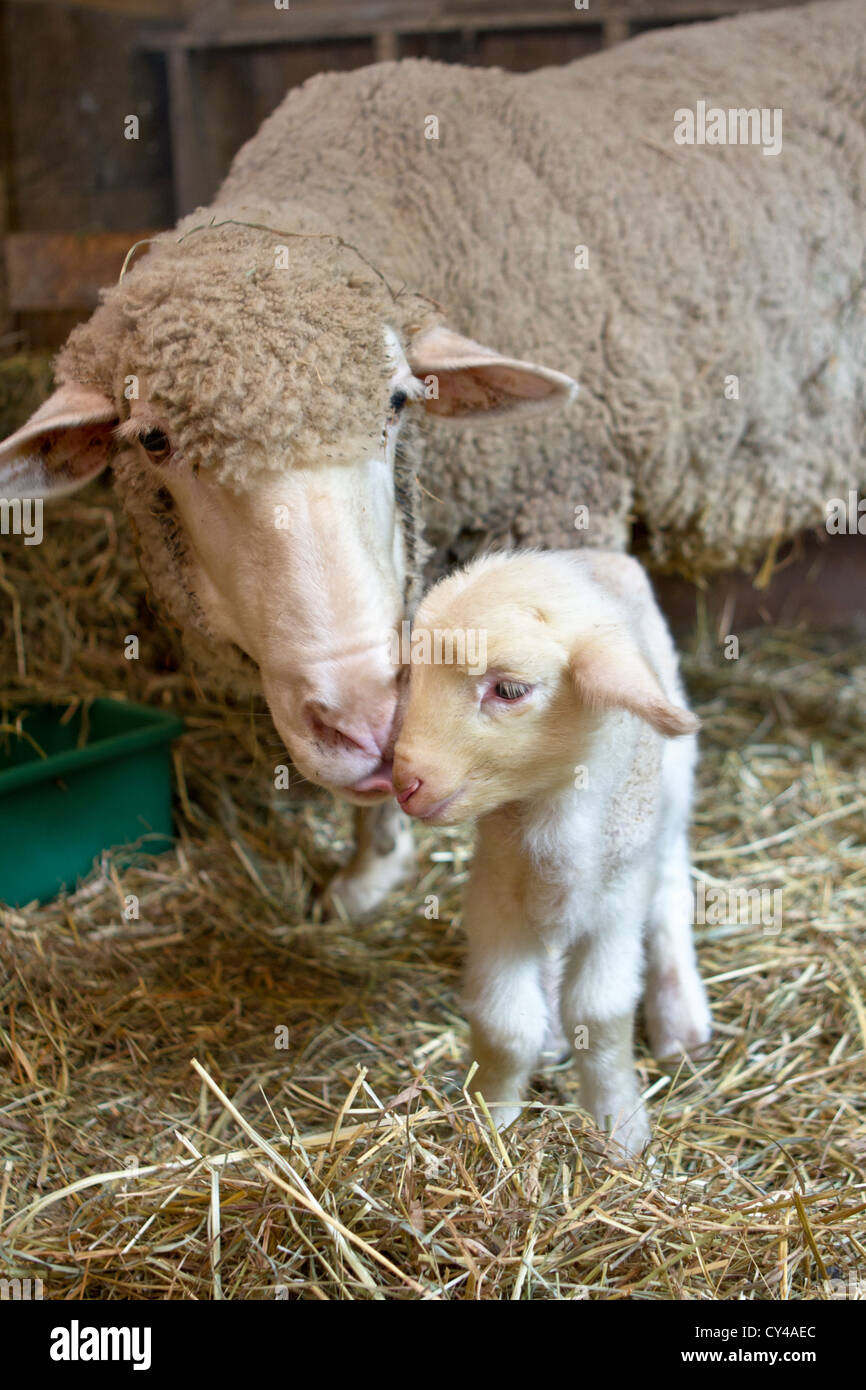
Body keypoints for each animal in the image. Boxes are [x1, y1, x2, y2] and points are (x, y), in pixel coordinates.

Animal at [392, 549, 710, 1157]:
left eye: (510, 691)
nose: (405, 782)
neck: (552, 815)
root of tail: (601, 556)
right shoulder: (493, 899)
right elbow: (503, 1023)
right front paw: (489, 1119)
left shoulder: (615, 908)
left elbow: (602, 1016)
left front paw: (621, 1129)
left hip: (674, 795)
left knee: (670, 892)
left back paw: (680, 1019)